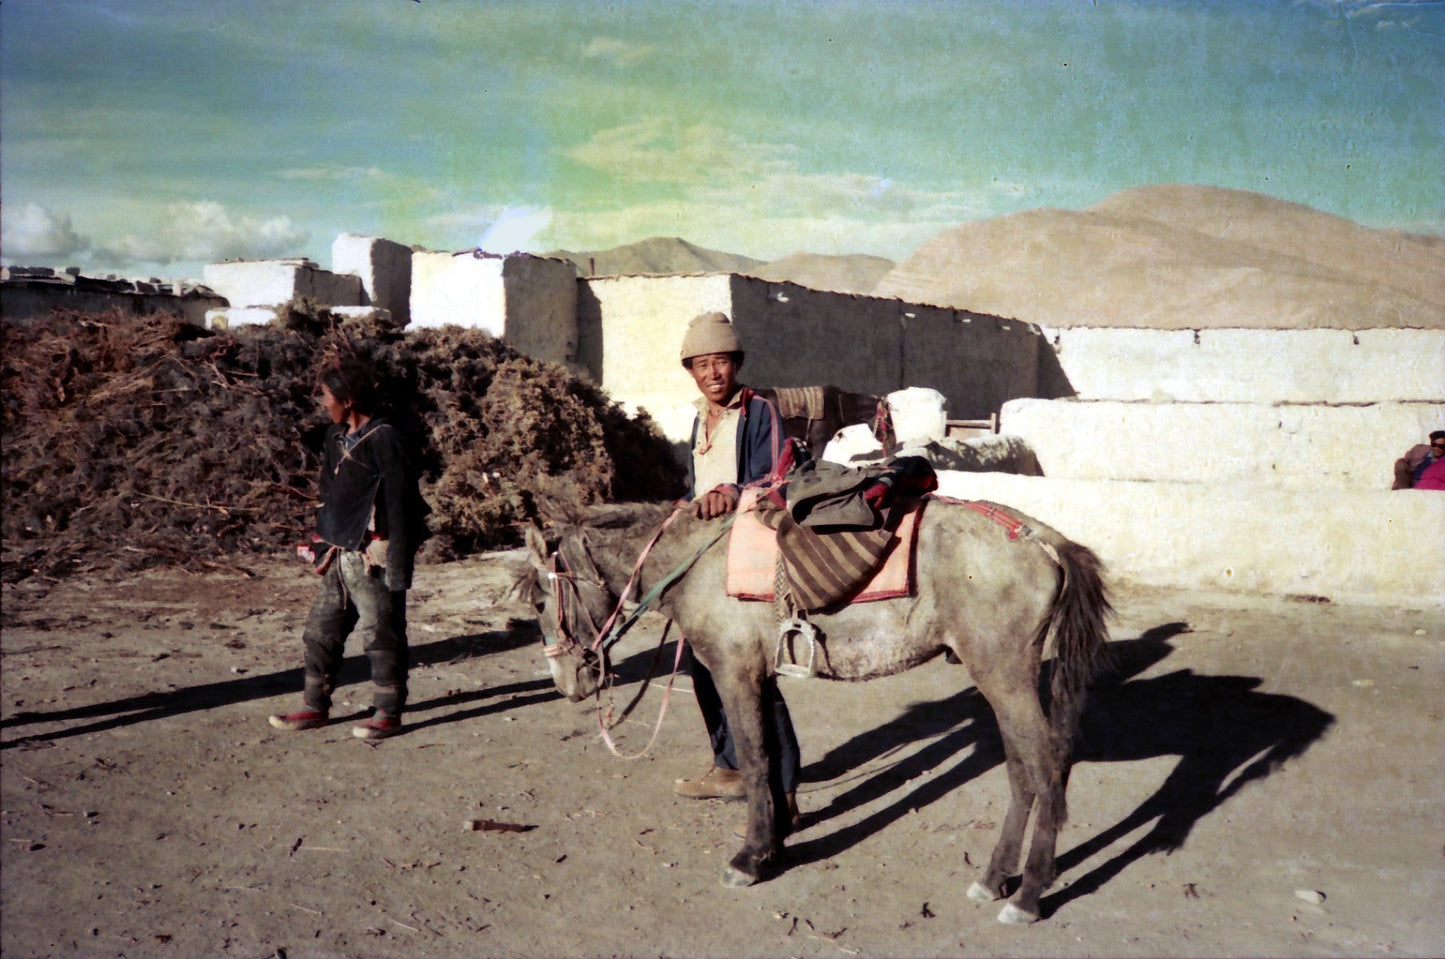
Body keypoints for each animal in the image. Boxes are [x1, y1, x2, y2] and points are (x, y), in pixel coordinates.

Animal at [525, 496, 1109, 924]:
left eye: (538, 600)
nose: (566, 683)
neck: (699, 564)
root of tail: (1045, 541)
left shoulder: (734, 674)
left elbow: (755, 761)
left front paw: (750, 858)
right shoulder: (761, 678)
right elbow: (772, 755)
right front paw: (775, 842)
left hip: (1004, 676)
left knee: (1046, 771)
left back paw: (1028, 895)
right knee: (1023, 773)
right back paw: (994, 879)